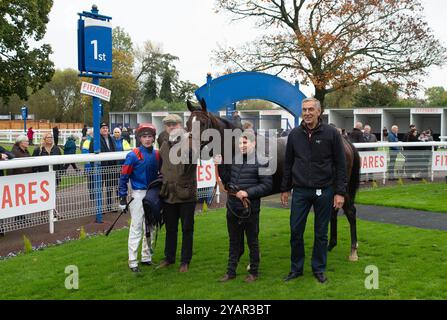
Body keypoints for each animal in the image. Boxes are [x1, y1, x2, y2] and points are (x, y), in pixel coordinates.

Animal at [187, 100, 362, 262]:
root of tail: (344, 142)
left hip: (342, 187)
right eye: (188, 123)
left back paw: (353, 251)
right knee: (333, 211)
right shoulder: (235, 193)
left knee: (350, 212)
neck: (238, 149)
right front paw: (239, 254)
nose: (189, 150)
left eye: (203, 123)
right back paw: (330, 245)